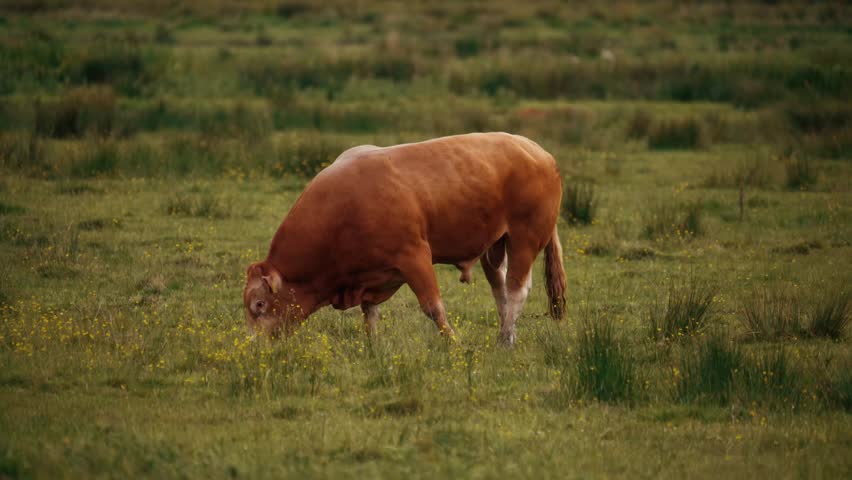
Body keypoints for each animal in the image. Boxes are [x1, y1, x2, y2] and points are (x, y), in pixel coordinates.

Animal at [243, 132, 566, 345]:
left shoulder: (414, 256)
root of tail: (539, 151)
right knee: (500, 290)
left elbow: (433, 308)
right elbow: (369, 312)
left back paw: (506, 340)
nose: (253, 347)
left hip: (525, 238)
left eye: (258, 305)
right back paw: (504, 332)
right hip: (494, 247)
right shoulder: (370, 277)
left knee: (516, 289)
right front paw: (372, 347)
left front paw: (452, 343)